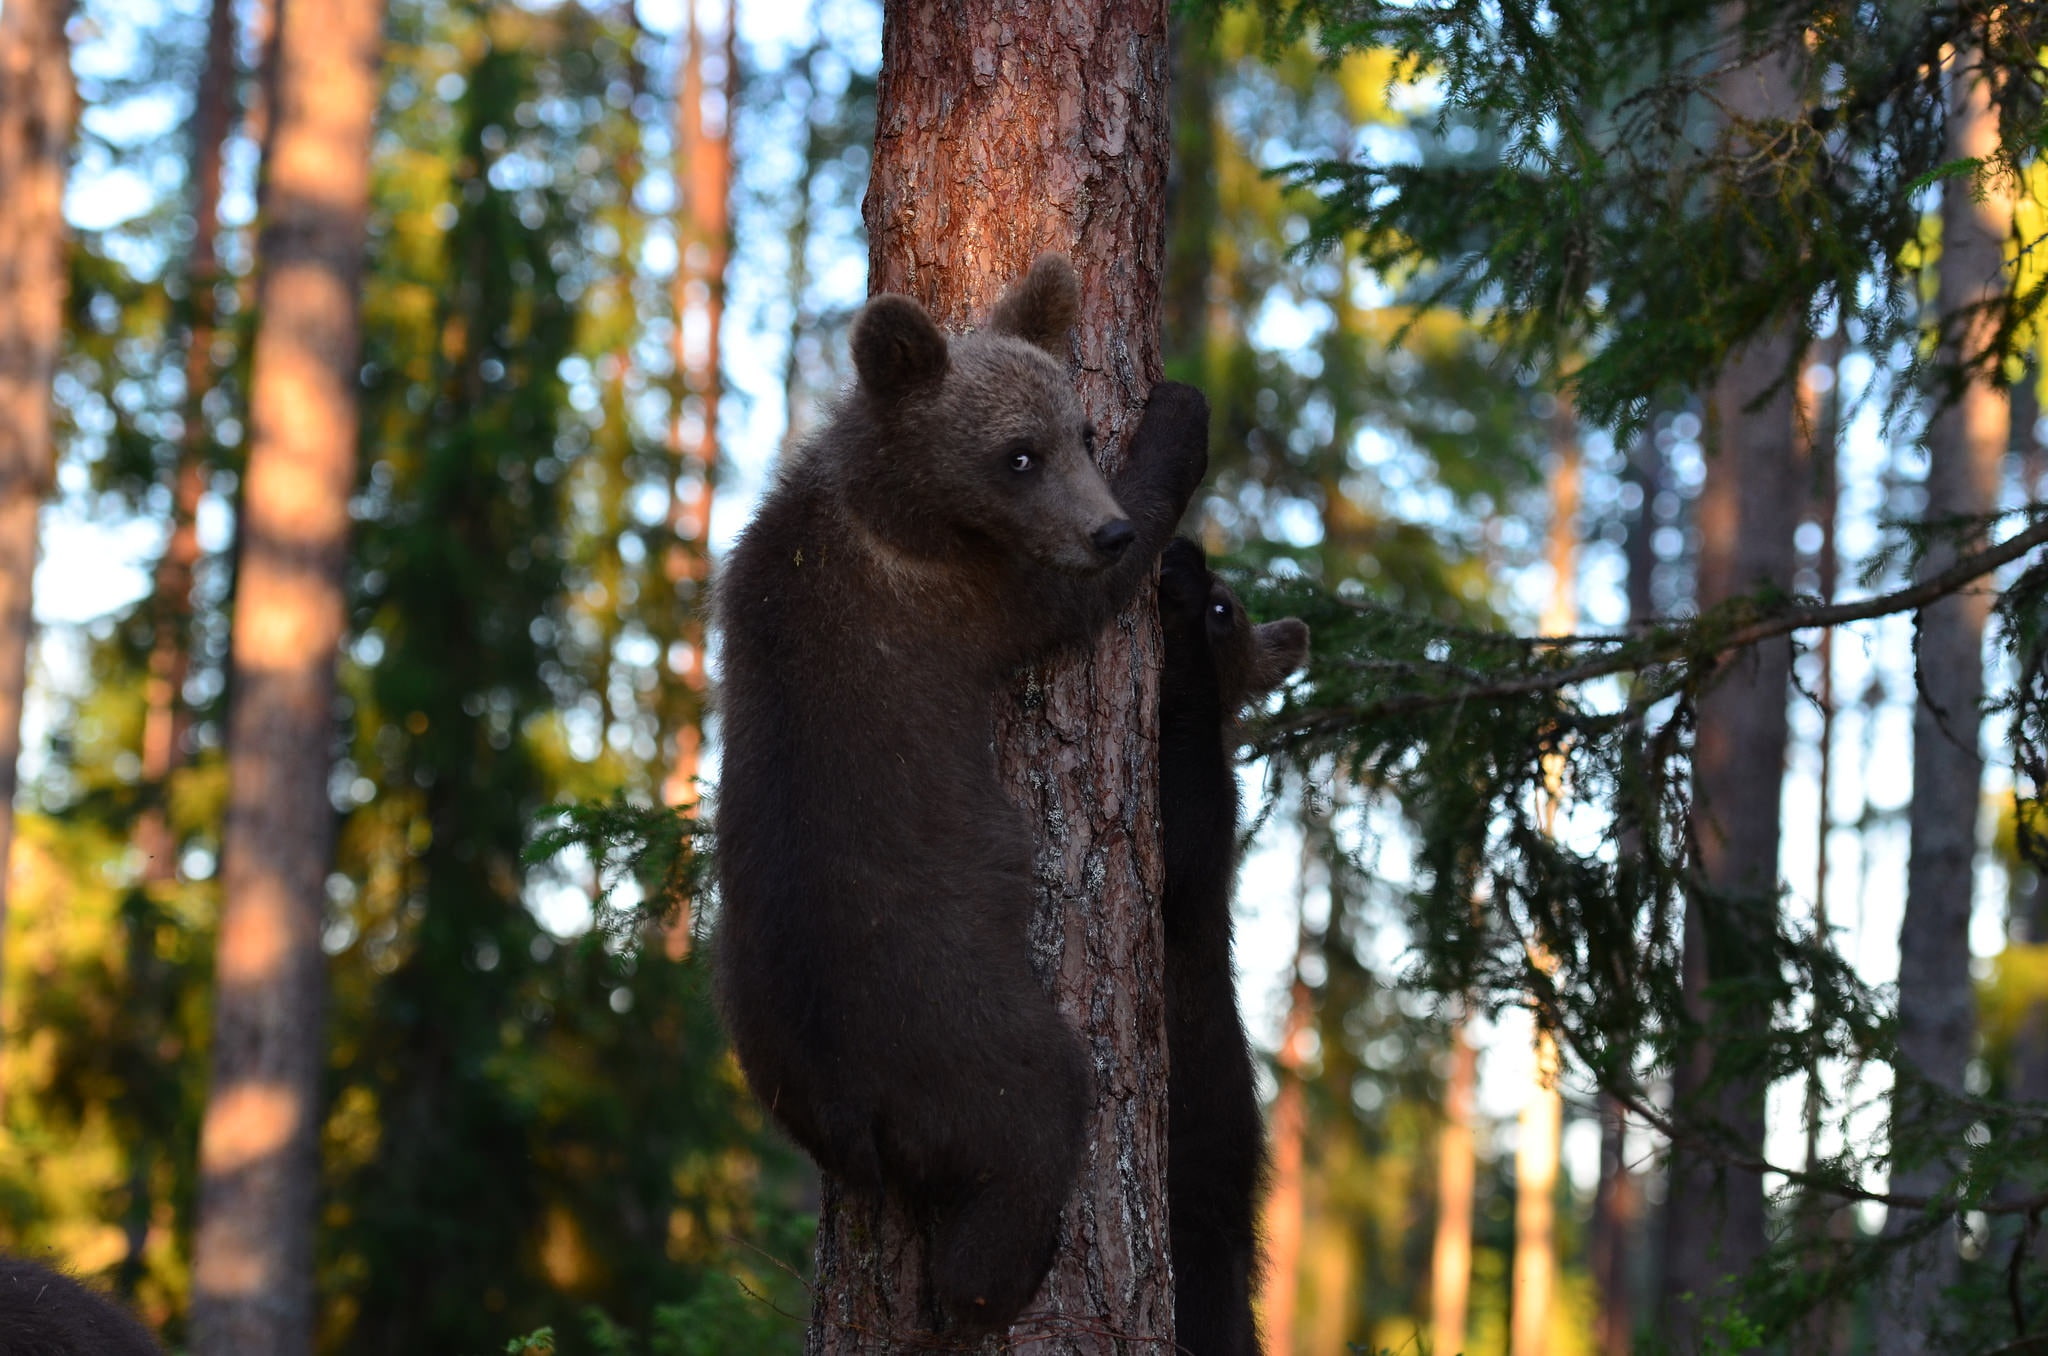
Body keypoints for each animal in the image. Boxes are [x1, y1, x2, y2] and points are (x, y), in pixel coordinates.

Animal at [711, 253, 1210, 1338]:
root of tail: (852, 1103)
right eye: (1017, 456)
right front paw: (1181, 418)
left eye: (1077, 433)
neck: (897, 511)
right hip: (961, 1031)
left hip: (765, 1049)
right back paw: (994, 1283)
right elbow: (1068, 600)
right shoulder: (970, 596)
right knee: (1033, 1116)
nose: (1106, 529)